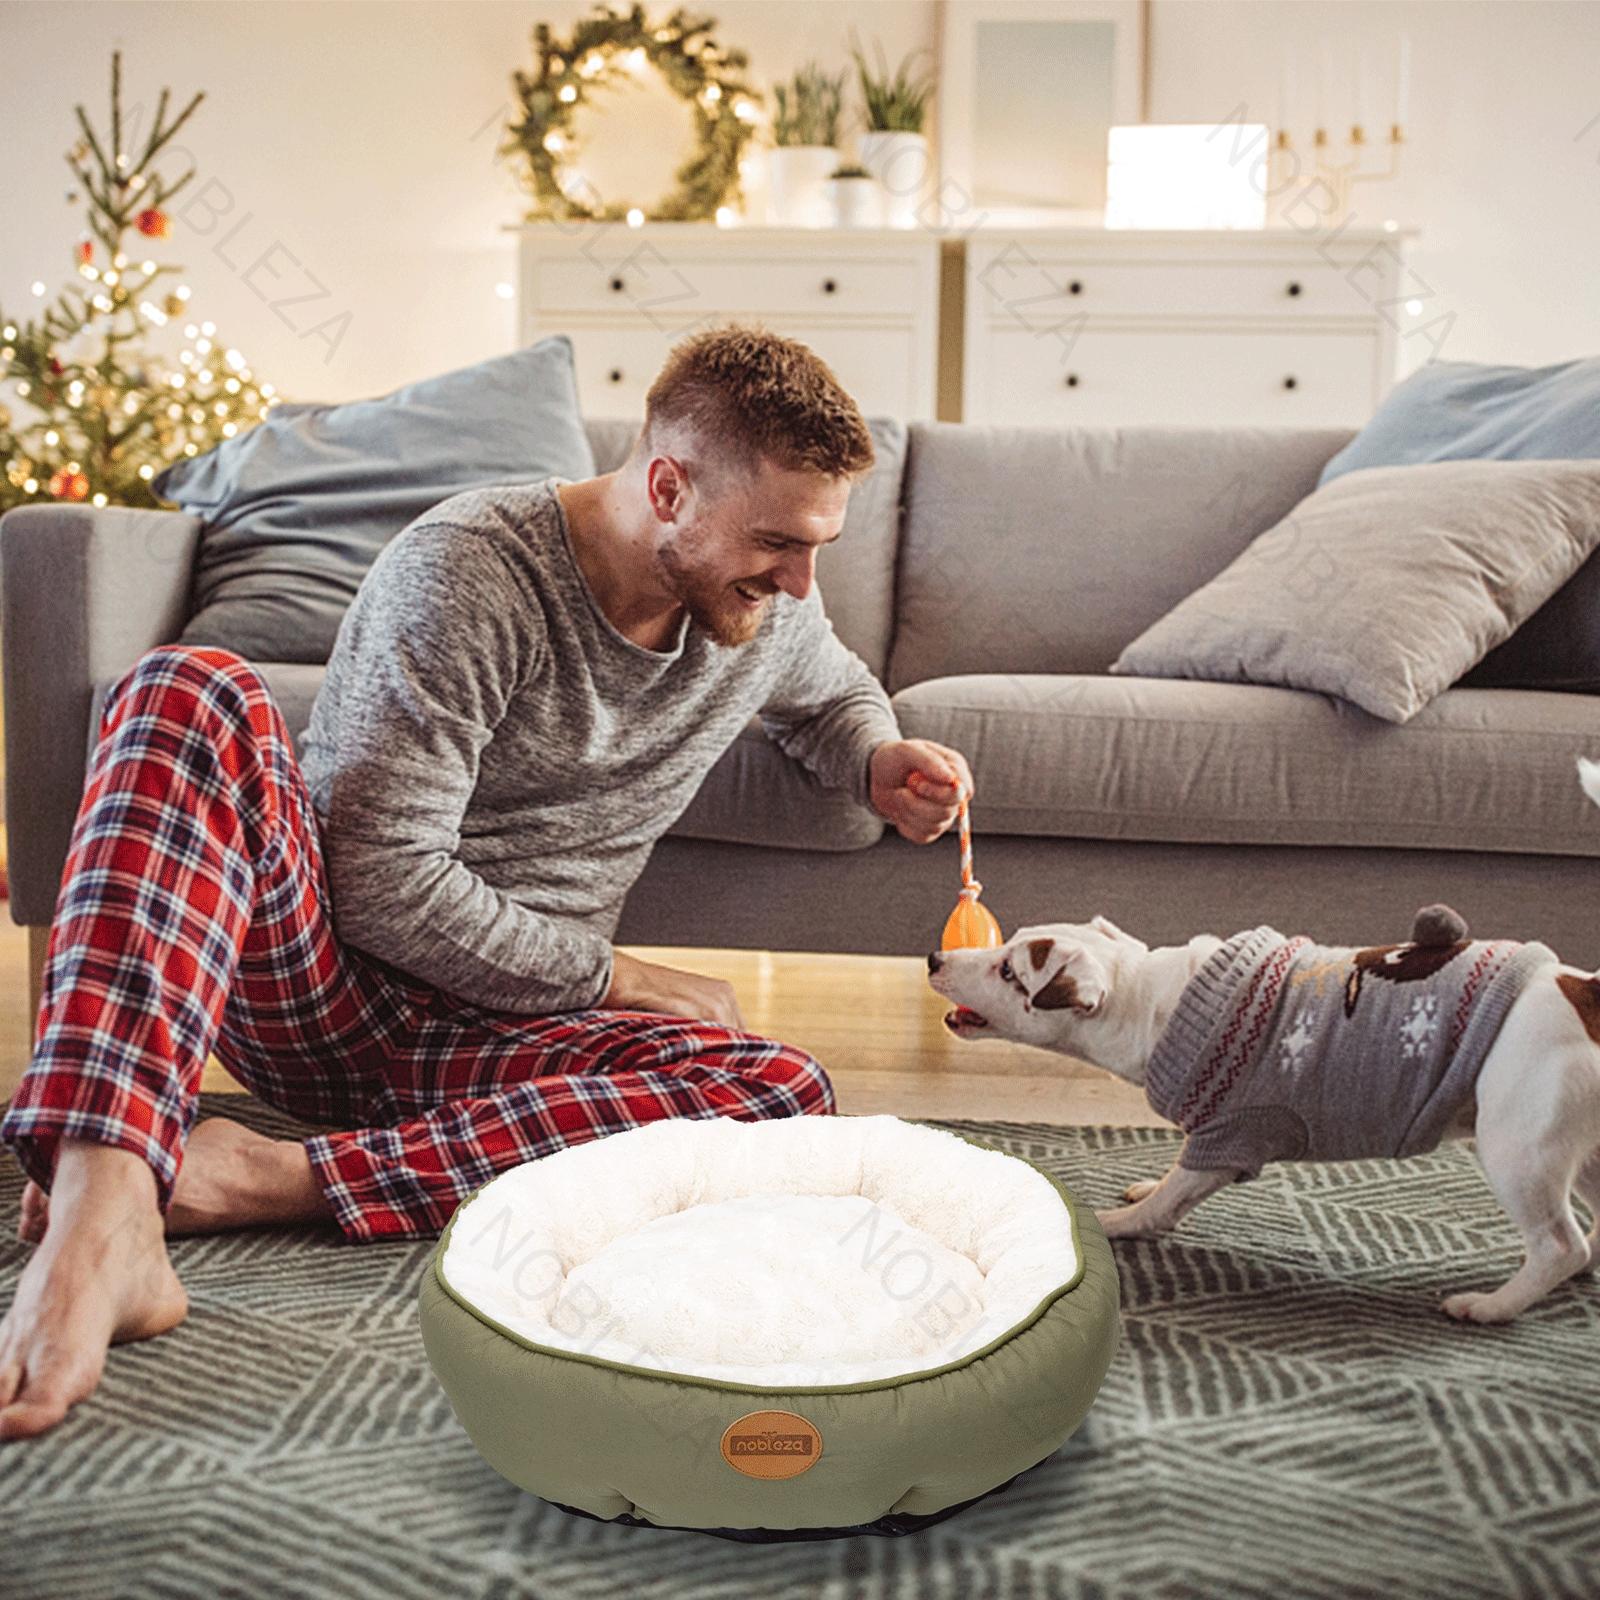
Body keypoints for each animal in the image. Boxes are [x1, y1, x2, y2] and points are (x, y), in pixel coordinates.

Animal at [928, 755, 1600, 1318]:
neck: (1154, 1002)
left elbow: (1171, 1196)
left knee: (1559, 1246)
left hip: (1520, 1146)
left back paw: (1494, 1305)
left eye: (1009, 971)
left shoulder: (1232, 1132)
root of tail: (1584, 991)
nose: (935, 958)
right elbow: (1172, 1183)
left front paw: (1121, 1222)